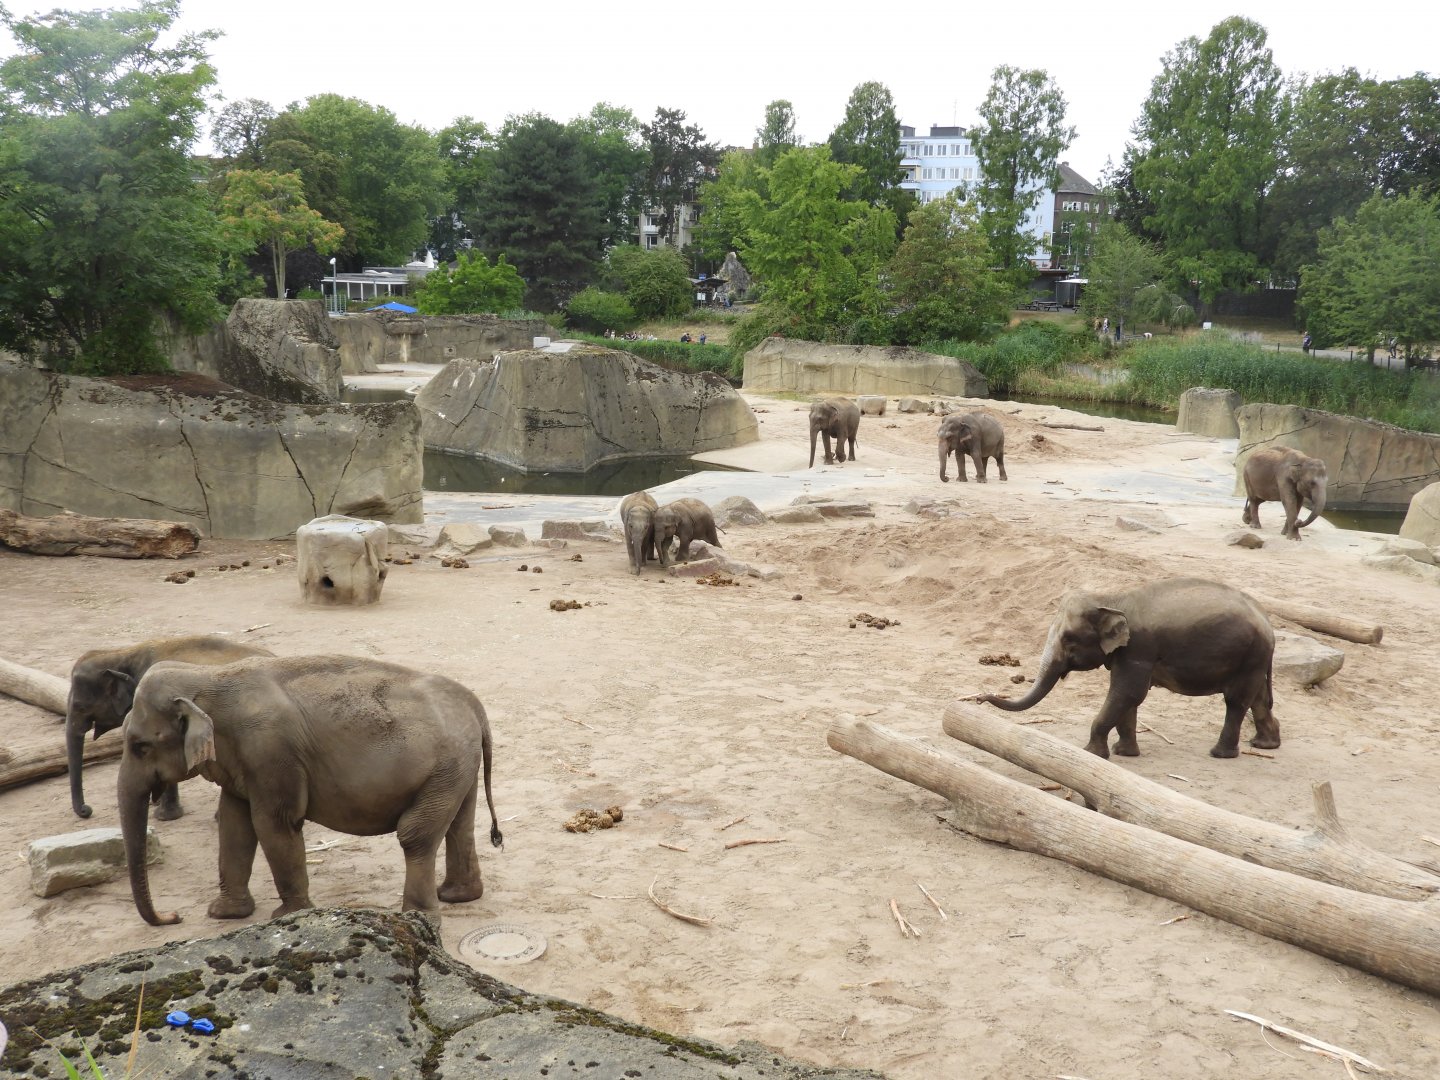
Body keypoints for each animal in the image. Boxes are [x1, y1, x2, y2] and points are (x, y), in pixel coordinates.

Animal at [118, 654, 502, 926]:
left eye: (140, 747)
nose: (173, 916)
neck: (207, 675)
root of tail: (475, 705)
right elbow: (234, 824)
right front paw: (225, 914)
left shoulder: (271, 753)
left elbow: (274, 823)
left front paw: (288, 916)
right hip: (456, 767)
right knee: (459, 824)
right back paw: (457, 895)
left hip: (445, 766)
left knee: (415, 835)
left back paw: (419, 917)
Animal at [976, 578, 1278, 760]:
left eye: (1069, 639)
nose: (979, 698)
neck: (1111, 598)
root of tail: (1267, 621)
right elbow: (1129, 698)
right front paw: (1124, 752)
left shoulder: (1138, 648)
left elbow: (1127, 693)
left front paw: (1093, 753)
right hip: (1254, 659)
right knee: (1258, 699)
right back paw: (1265, 744)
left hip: (1251, 656)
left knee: (1236, 701)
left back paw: (1220, 753)